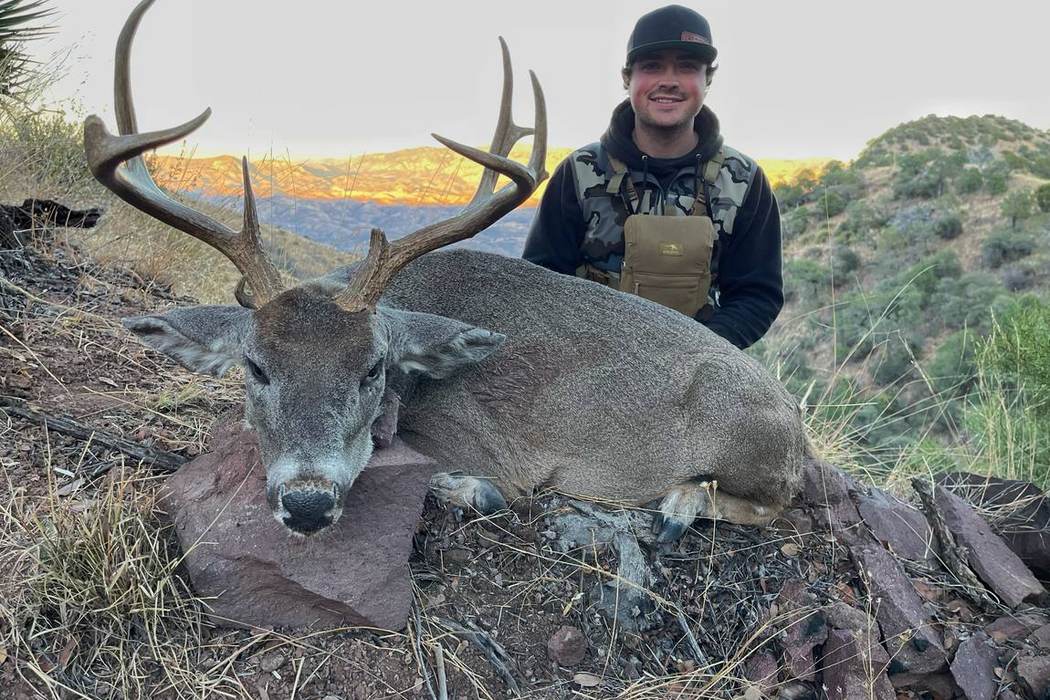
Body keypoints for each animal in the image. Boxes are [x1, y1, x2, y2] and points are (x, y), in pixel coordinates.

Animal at [86, 0, 807, 542]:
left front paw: (469, 489)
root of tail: (797, 429)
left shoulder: (486, 448)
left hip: (743, 439)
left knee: (772, 502)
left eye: (372, 369)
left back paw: (681, 502)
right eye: (255, 367)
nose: (308, 504)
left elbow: (465, 480)